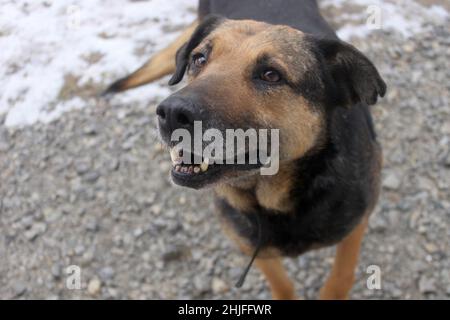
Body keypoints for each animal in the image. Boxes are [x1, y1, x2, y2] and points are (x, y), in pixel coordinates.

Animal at [103, 0, 384, 300]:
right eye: (199, 59)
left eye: (271, 75)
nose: (170, 114)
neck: (274, 200)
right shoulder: (253, 246)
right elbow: (282, 285)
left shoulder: (356, 224)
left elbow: (340, 277)